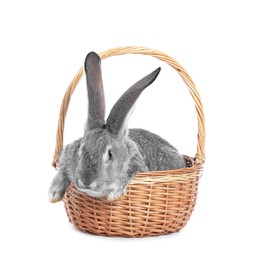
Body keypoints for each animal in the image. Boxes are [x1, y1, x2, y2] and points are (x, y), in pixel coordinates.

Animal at [48, 51, 186, 203]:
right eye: (79, 150)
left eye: (110, 154)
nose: (86, 182)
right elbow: (63, 169)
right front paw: (54, 193)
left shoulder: (137, 166)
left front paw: (114, 193)